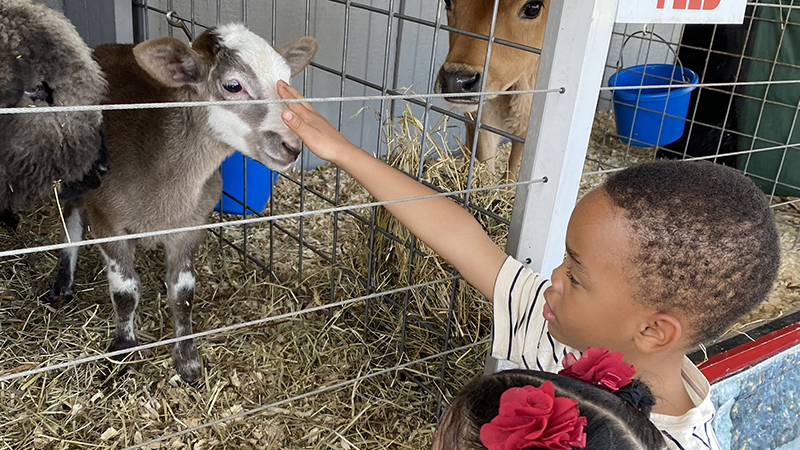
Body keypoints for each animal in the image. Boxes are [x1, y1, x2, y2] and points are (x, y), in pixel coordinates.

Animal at [432, 0, 552, 181]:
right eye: (447, 1)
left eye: (533, 7)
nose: (456, 81)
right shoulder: (483, 115)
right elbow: (485, 160)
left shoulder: (526, 118)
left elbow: (513, 164)